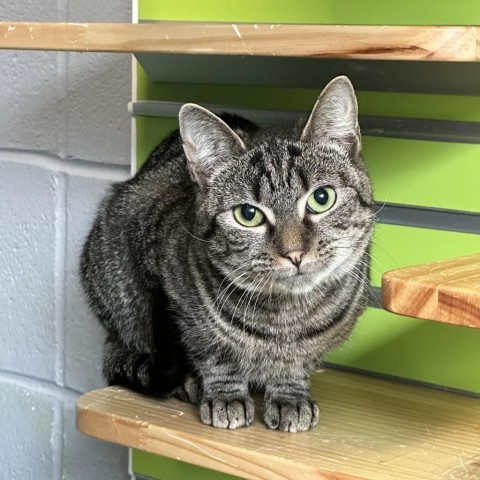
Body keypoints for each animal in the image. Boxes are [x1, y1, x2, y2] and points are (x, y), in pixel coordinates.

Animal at [80, 77, 376, 434]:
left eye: (322, 198)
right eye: (248, 214)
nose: (294, 253)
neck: (284, 316)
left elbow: (297, 362)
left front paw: (289, 395)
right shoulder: (168, 285)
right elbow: (213, 353)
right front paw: (225, 394)